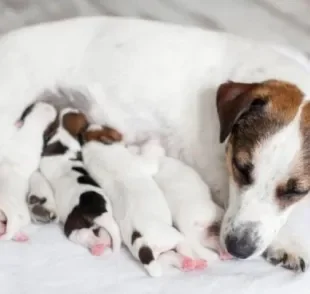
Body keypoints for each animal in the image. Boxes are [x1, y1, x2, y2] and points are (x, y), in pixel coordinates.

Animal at [39, 107, 121, 255]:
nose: (73, 108)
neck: (64, 133)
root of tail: (98, 213)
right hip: (100, 225)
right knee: (102, 234)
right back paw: (100, 245)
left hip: (72, 224)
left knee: (81, 234)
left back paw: (96, 246)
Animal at [81, 127, 206, 278]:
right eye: (109, 130)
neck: (98, 154)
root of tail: (143, 244)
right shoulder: (141, 163)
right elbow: (150, 158)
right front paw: (153, 144)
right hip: (176, 238)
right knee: (185, 249)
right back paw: (195, 263)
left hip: (160, 257)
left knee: (170, 258)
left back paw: (186, 264)